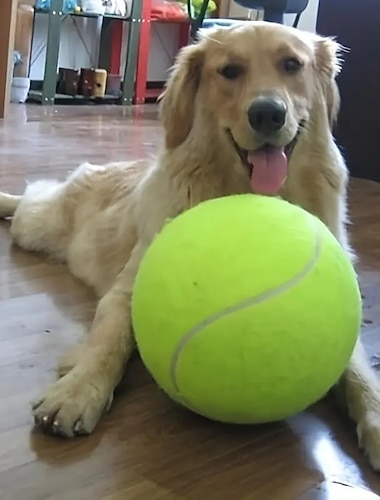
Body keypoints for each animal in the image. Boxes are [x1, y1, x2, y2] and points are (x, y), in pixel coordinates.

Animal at [0, 22, 380, 468]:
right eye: (230, 71)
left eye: (291, 65)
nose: (267, 113)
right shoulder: (127, 290)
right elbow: (109, 340)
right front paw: (79, 389)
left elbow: (359, 371)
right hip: (39, 225)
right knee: (30, 199)